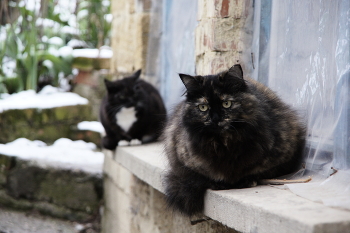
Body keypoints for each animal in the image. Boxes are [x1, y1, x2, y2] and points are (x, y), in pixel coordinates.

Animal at [163, 64, 304, 217]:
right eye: (203, 107)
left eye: (226, 104)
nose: (215, 119)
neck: (225, 144)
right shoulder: (182, 161)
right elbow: (199, 175)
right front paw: (218, 183)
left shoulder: (284, 154)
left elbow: (259, 171)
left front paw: (246, 180)